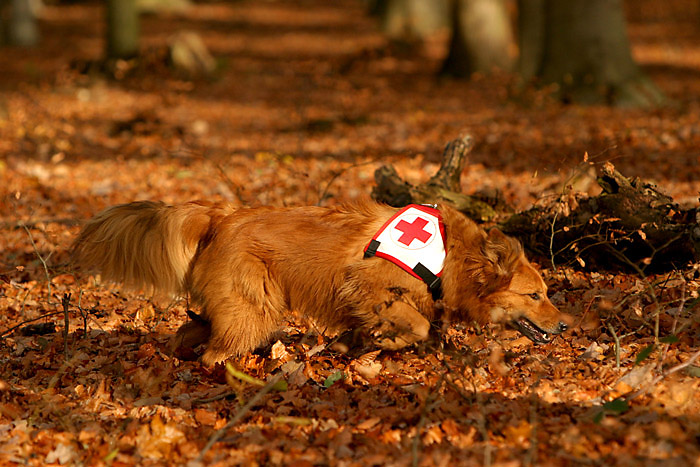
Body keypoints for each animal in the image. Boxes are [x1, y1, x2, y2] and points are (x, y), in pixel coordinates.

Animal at [71, 201, 568, 366]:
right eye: (535, 295)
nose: (566, 326)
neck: (453, 256)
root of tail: (221, 217)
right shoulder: (367, 284)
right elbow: (417, 324)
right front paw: (387, 342)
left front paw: (356, 345)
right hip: (255, 308)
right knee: (216, 349)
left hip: (237, 307)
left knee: (189, 330)